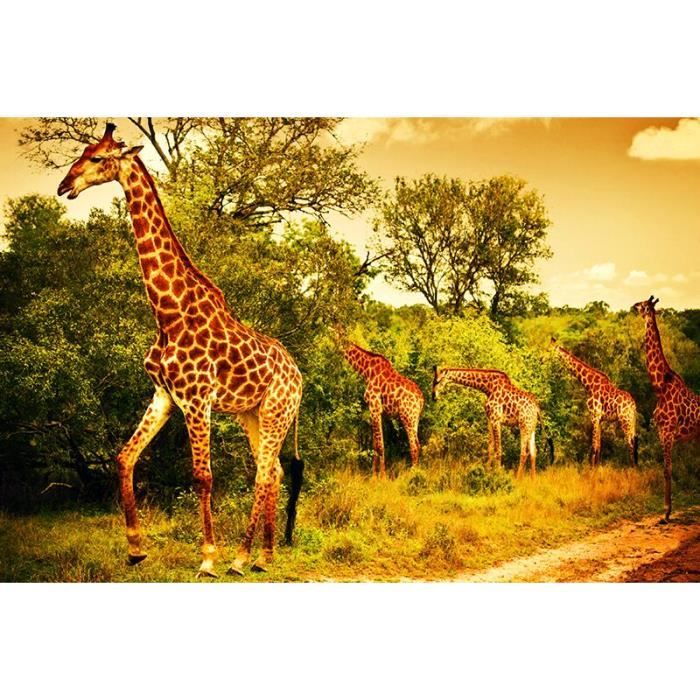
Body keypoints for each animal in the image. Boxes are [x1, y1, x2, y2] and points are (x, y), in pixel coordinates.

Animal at [57, 123, 304, 577]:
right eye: (81, 153)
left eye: (98, 158)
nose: (65, 185)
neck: (168, 314)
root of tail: (299, 375)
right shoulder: (164, 395)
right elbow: (124, 457)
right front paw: (136, 549)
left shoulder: (196, 398)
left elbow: (202, 476)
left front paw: (207, 558)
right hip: (252, 413)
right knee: (274, 470)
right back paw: (263, 555)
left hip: (277, 410)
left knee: (263, 473)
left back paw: (239, 559)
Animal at [334, 331, 424, 477]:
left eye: (333, 334)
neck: (366, 371)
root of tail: (421, 399)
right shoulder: (375, 410)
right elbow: (375, 444)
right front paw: (373, 474)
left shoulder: (375, 407)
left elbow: (380, 445)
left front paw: (382, 476)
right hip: (415, 418)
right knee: (418, 444)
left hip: (407, 417)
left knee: (414, 445)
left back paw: (413, 474)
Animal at [632, 295, 700, 522]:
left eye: (644, 304)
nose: (633, 306)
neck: (660, 385)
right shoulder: (662, 432)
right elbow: (667, 470)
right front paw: (667, 511)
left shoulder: (667, 432)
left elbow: (666, 470)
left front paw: (666, 513)